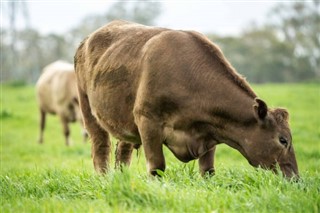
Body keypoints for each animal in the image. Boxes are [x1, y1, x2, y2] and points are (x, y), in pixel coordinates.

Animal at [74, 20, 298, 178]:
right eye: (283, 140)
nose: (295, 179)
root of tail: (87, 39)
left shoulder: (209, 131)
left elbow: (208, 171)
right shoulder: (148, 121)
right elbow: (157, 167)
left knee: (123, 150)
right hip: (87, 108)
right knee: (101, 146)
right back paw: (104, 178)